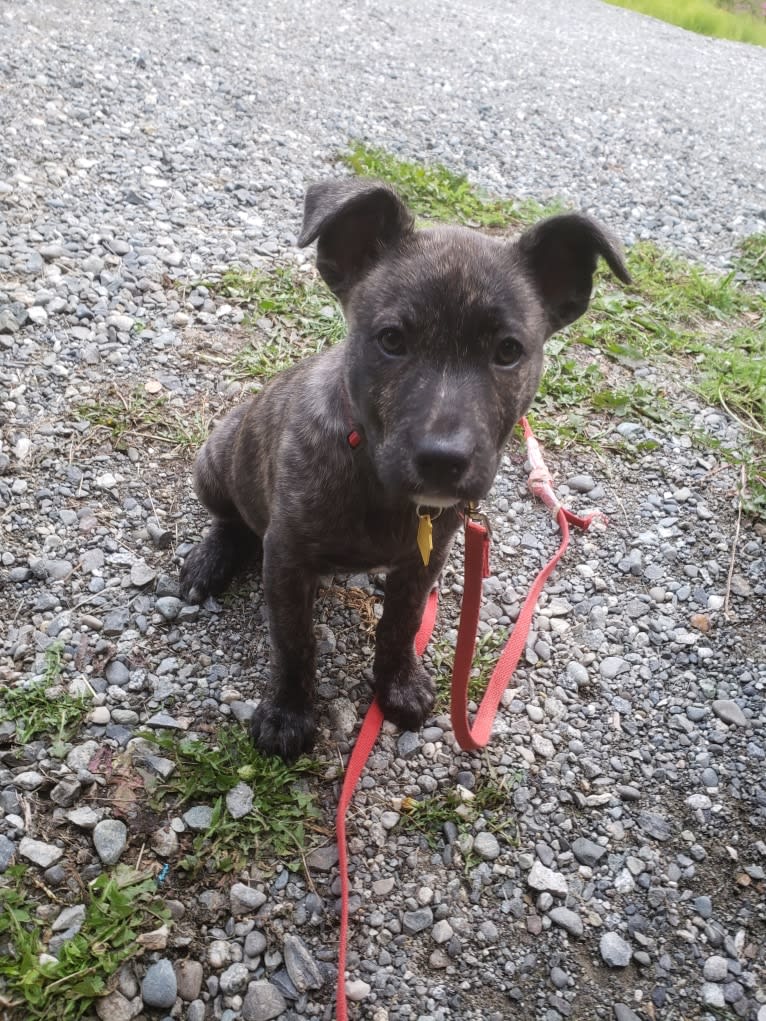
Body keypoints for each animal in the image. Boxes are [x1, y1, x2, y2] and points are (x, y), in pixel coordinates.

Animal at [179, 181, 629, 759]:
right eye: (391, 340)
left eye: (509, 351)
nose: (442, 459)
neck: (372, 469)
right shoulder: (285, 557)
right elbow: (295, 642)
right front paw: (287, 713)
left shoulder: (423, 562)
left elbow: (400, 624)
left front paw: (398, 684)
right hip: (216, 457)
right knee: (230, 519)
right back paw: (209, 561)